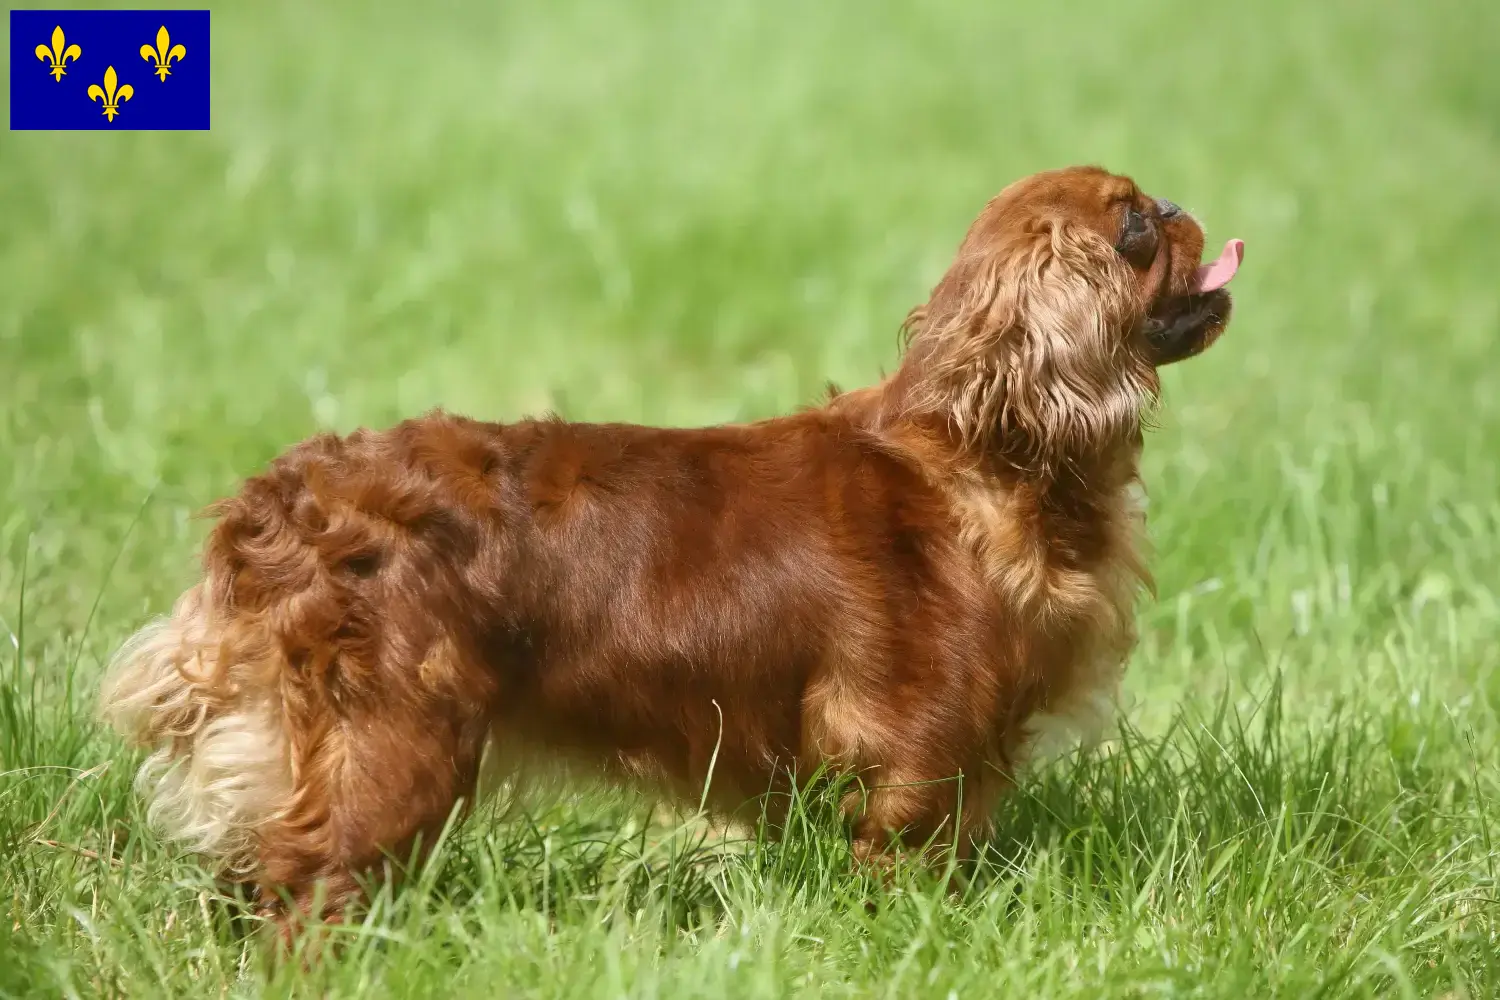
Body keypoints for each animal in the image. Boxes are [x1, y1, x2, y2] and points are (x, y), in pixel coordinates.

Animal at [96, 166, 1242, 929]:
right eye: (1134, 228)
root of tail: (284, 503)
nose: (1184, 209)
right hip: (392, 748)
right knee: (311, 883)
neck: (984, 452)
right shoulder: (917, 750)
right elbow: (909, 856)